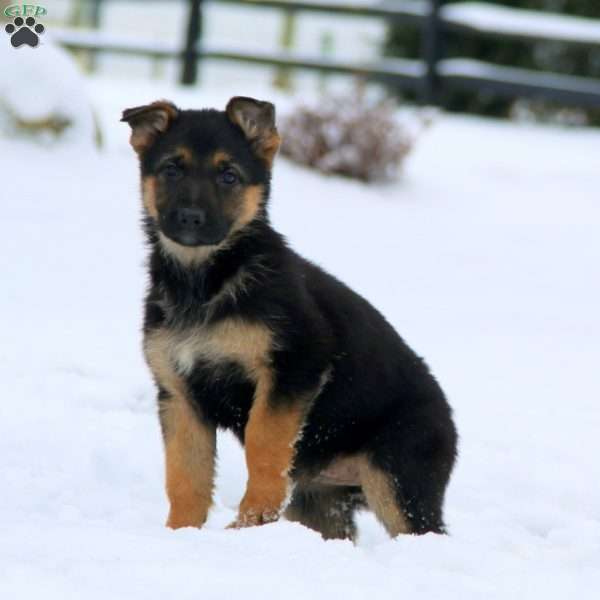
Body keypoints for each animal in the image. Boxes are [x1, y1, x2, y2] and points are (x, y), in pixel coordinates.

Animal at [123, 95, 460, 540]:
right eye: (171, 169)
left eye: (228, 175)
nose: (191, 218)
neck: (208, 281)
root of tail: (449, 420)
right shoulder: (179, 394)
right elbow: (185, 476)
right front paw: (181, 534)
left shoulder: (294, 366)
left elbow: (262, 441)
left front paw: (252, 519)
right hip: (322, 503)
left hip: (399, 482)